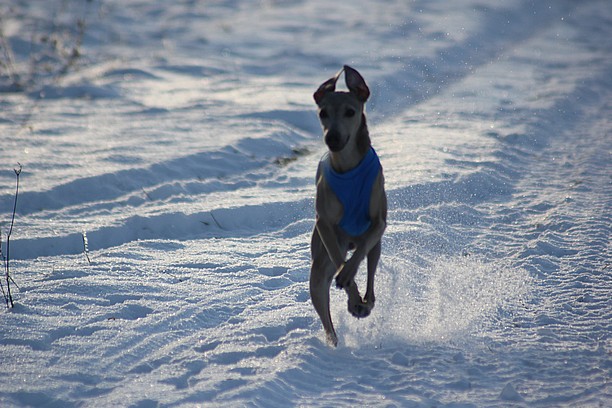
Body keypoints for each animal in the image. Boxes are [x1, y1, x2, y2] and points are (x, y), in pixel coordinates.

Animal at [310, 65, 388, 346]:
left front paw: (350, 282)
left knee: (370, 269)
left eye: (350, 111)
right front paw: (351, 294)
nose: (332, 138)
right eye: (322, 113)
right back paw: (334, 339)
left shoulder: (378, 223)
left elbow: (365, 246)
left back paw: (366, 301)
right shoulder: (325, 226)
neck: (347, 166)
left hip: (376, 247)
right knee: (324, 309)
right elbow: (339, 260)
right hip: (319, 264)